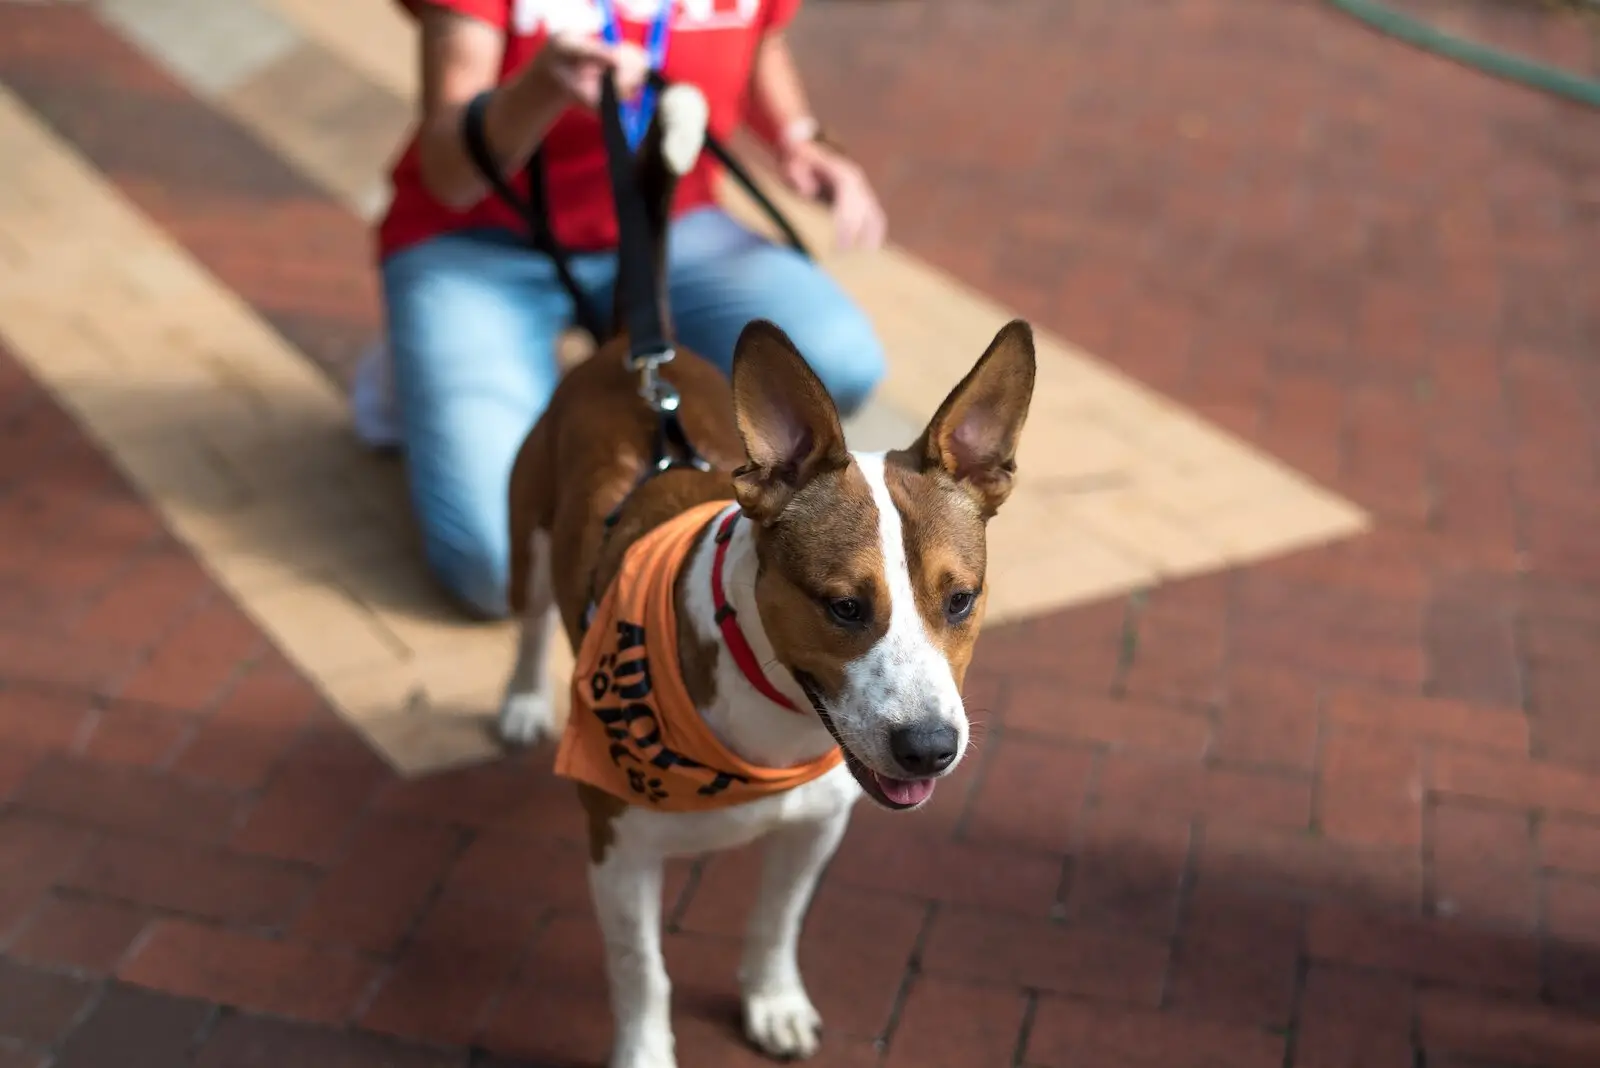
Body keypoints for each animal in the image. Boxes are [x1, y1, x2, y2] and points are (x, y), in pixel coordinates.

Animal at [499, 81, 1036, 1068]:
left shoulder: (817, 827)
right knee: (524, 614)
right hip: (527, 526)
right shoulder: (617, 851)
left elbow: (776, 924)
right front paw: (645, 1053)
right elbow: (643, 973)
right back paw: (519, 700)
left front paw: (773, 1001)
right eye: (843, 605)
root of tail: (635, 351)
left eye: (962, 599)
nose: (930, 749)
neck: (770, 721)